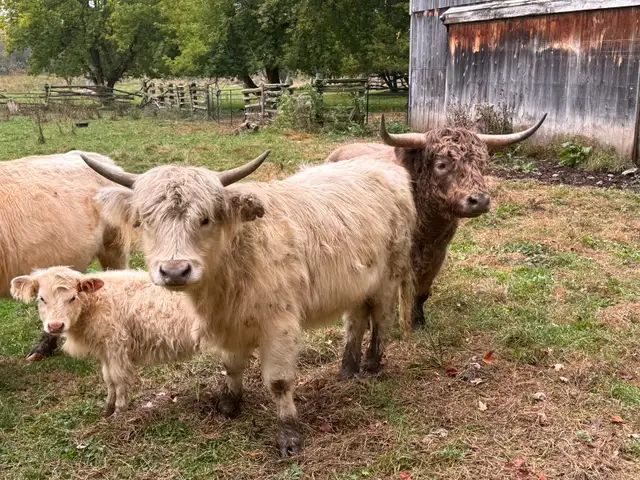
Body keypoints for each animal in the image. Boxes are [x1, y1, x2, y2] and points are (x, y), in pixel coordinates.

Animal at [11, 266, 198, 416]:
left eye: (72, 297)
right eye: (41, 298)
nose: (55, 325)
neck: (96, 302)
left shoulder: (117, 346)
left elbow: (118, 378)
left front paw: (120, 410)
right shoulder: (105, 351)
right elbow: (108, 378)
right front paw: (108, 409)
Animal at [79, 151, 416, 456]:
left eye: (205, 219)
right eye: (146, 221)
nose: (175, 271)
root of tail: (381, 166)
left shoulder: (279, 323)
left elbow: (279, 381)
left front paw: (289, 436)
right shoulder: (229, 323)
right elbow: (231, 365)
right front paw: (230, 404)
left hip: (388, 276)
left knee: (381, 317)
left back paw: (372, 363)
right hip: (356, 285)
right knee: (355, 319)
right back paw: (347, 368)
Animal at [327, 113, 547, 328]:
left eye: (481, 164)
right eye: (441, 165)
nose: (480, 201)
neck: (426, 228)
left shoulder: (438, 253)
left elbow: (422, 292)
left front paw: (418, 321)